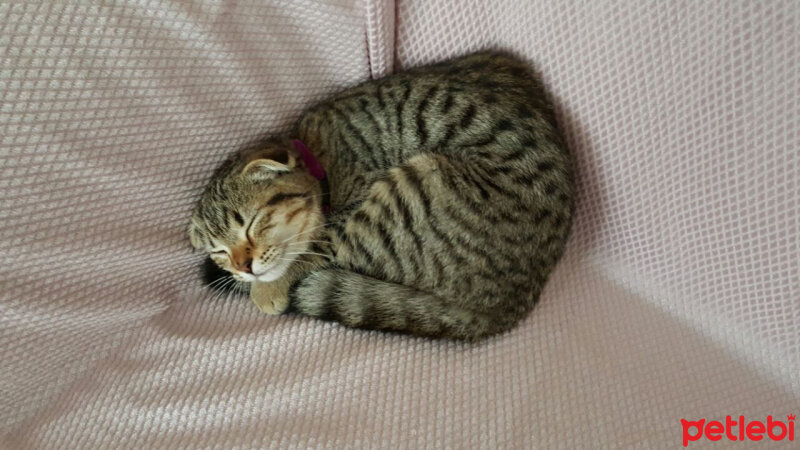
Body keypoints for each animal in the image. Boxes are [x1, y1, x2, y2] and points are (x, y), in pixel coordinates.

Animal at [188, 51, 576, 342]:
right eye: (219, 251)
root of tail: (513, 305)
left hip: (415, 187)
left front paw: (266, 290)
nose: (242, 268)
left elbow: (314, 245)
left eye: (251, 223)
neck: (321, 156)